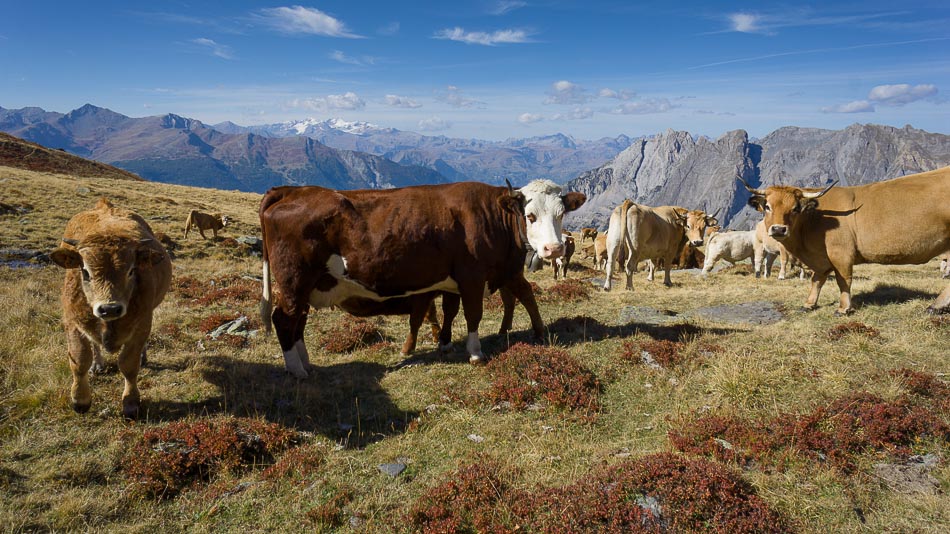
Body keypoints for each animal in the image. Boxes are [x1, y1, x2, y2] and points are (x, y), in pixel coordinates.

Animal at [48, 199, 172, 420]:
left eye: (131, 270)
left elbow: (129, 365)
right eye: (85, 271)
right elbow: (79, 360)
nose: (109, 308)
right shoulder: (72, 321)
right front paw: (80, 400)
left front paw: (131, 404)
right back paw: (98, 365)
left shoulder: (142, 323)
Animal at [262, 180, 588, 376]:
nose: (554, 248)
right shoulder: (472, 276)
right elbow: (473, 314)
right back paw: (297, 370)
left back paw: (306, 363)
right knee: (284, 319)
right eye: (530, 215)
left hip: (306, 287)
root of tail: (291, 190)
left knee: (298, 322)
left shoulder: (456, 280)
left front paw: (444, 343)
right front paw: (475, 353)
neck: (492, 216)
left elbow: (450, 310)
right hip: (294, 281)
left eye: (560, 214)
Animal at [744, 168, 950, 316]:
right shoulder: (821, 258)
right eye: (767, 206)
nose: (779, 229)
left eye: (795, 208)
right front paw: (809, 304)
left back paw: (936, 306)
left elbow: (843, 280)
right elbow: (816, 280)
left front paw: (843, 308)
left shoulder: (840, 253)